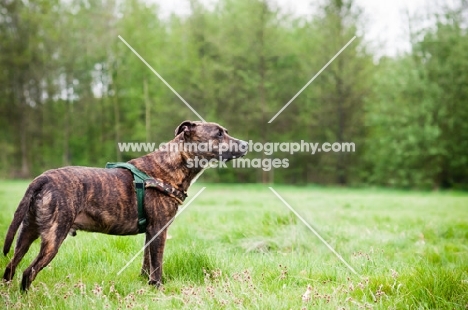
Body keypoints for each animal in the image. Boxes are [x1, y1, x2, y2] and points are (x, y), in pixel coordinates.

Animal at [1, 120, 249, 290]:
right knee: (28, 272)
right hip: (54, 237)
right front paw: (158, 288)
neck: (172, 165)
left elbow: (147, 262)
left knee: (10, 267)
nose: (246, 144)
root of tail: (42, 178)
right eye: (218, 134)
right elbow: (157, 264)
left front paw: (146, 285)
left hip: (27, 233)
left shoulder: (150, 232)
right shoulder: (159, 229)